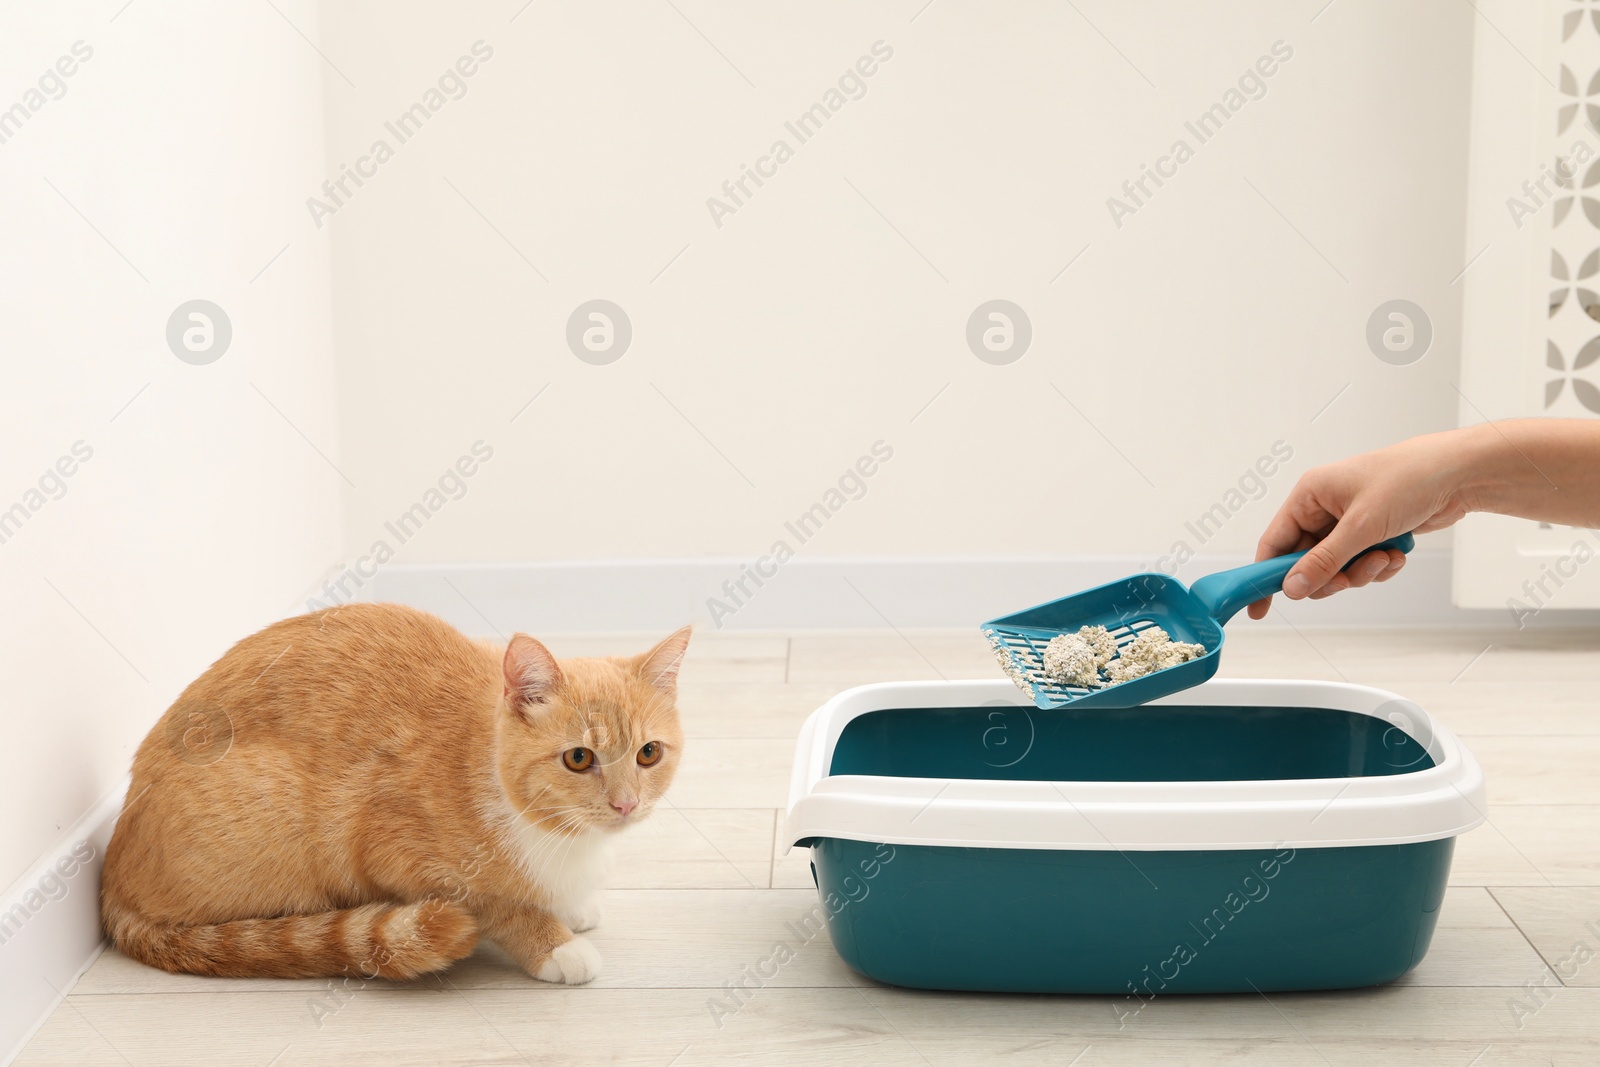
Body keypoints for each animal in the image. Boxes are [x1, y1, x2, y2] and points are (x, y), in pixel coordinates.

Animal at [100, 601, 688, 985]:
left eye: (648, 754)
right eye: (579, 759)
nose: (625, 804)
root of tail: (112, 880)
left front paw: (569, 907)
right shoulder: (391, 852)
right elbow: (493, 903)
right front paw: (552, 943)